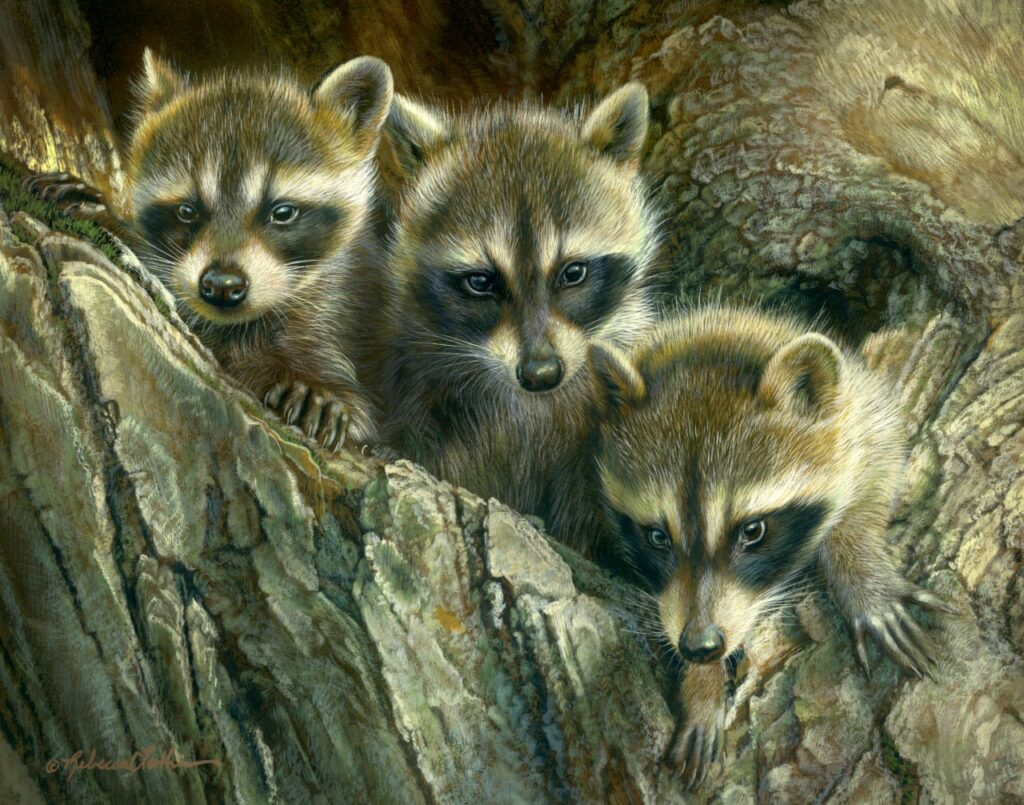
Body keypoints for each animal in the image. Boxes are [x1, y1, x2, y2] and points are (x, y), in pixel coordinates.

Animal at [591, 307, 951, 787]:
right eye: (657, 537)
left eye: (753, 531)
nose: (700, 645)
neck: (718, 339)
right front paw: (701, 685)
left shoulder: (861, 412)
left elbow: (879, 470)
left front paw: (860, 575)